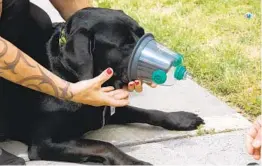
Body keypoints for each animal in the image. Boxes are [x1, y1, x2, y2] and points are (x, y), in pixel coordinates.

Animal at [0, 7, 205, 165]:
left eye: (142, 33)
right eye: (124, 44)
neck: (70, 76)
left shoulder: (108, 107)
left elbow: (147, 112)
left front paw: (180, 118)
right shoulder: (45, 143)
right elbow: (104, 145)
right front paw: (135, 163)